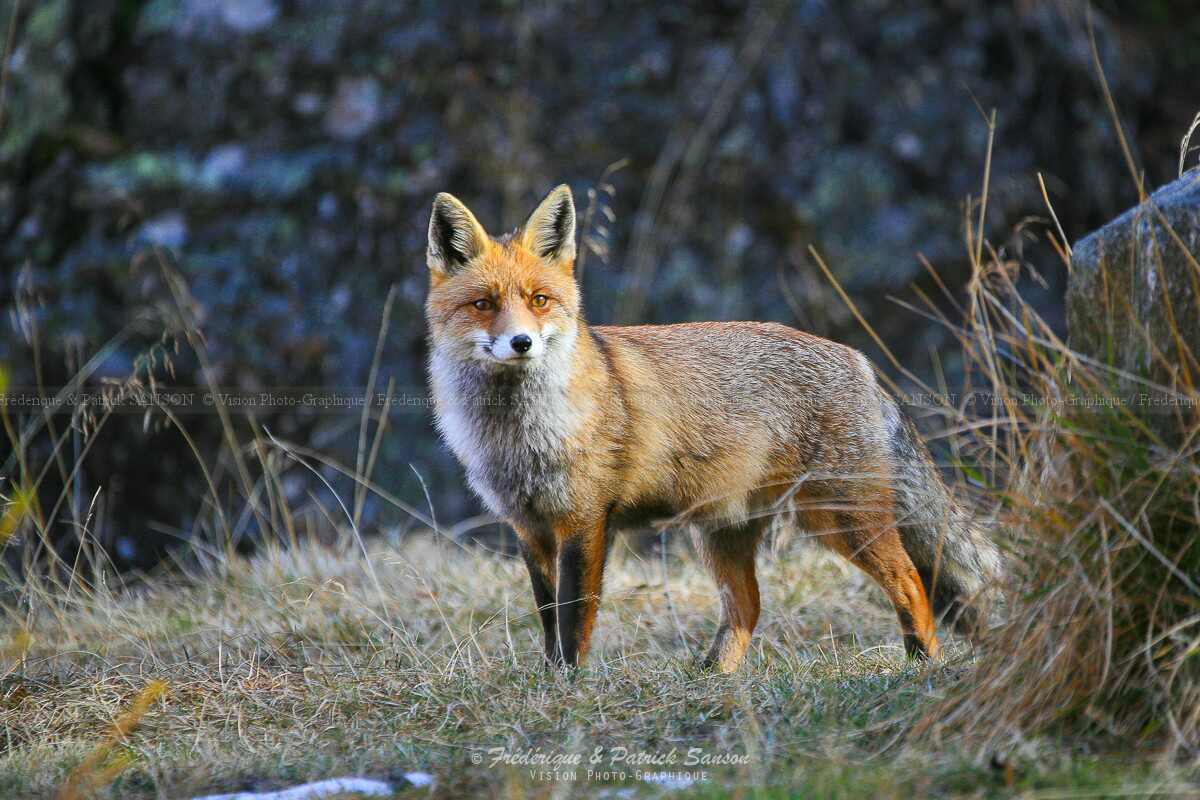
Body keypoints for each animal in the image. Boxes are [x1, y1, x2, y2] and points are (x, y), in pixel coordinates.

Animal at [424, 184, 1001, 672]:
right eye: (484, 304)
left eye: (538, 300)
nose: (521, 342)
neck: (518, 435)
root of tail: (860, 362)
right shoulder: (528, 527)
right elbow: (547, 616)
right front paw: (549, 681)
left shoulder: (584, 522)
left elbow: (573, 618)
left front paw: (569, 684)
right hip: (723, 533)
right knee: (748, 607)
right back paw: (714, 678)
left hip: (842, 518)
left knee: (910, 580)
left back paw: (924, 664)